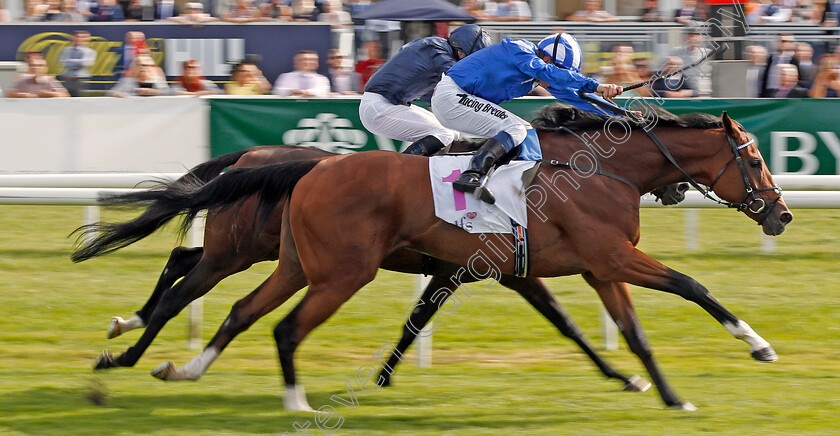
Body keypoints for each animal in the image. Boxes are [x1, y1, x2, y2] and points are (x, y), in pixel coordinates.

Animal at [77, 141, 648, 390]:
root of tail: (248, 156)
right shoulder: (478, 267)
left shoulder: (493, 270)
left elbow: (563, 323)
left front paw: (621, 375)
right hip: (237, 251)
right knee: (184, 288)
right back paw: (127, 352)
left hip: (256, 252)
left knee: (185, 263)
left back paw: (129, 328)